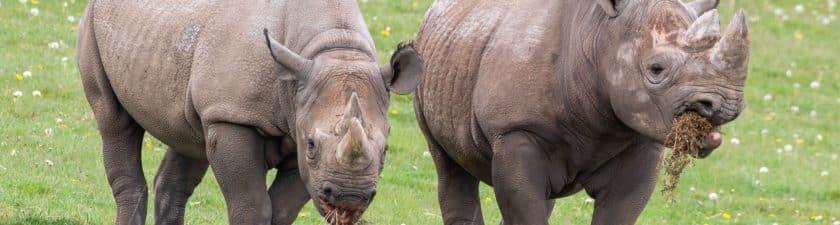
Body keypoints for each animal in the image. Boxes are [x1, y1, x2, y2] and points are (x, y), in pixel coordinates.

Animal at [76, 0, 424, 225]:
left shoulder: (298, 128)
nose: (349, 197)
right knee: (114, 121)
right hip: (93, 23)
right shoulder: (233, 117)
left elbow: (281, 211)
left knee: (190, 139)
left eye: (385, 149)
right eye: (312, 144)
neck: (335, 49)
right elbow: (253, 207)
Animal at [414, 0, 748, 225]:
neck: (599, 37)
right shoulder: (515, 130)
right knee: (449, 166)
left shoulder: (641, 140)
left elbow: (618, 211)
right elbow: (525, 206)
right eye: (656, 69)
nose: (726, 103)